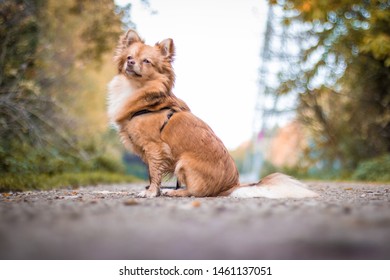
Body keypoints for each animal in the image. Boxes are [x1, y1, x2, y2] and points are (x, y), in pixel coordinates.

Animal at [106, 29, 316, 198]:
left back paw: (175, 192)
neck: (136, 90)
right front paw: (151, 190)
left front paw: (151, 192)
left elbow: (153, 173)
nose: (130, 62)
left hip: (183, 161)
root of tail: (231, 186)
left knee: (195, 192)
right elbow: (151, 173)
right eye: (129, 57)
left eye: (146, 61)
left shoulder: (155, 148)